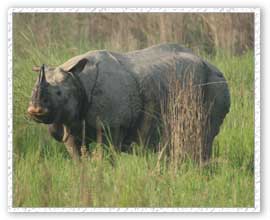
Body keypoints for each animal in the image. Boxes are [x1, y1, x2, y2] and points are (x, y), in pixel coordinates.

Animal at [28, 43, 230, 160]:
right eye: (32, 90)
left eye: (59, 93)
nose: (35, 110)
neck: (78, 80)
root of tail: (213, 66)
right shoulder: (68, 122)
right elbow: (76, 155)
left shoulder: (112, 124)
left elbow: (106, 154)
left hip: (213, 83)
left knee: (204, 133)